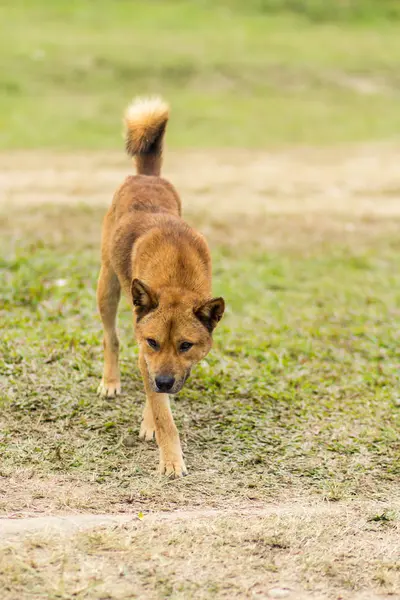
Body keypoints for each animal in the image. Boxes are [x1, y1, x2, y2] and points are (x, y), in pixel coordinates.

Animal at [95, 98, 223, 478]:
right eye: (154, 341)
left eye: (186, 345)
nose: (165, 383)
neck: (176, 280)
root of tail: (146, 176)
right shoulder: (145, 352)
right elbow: (164, 414)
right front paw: (170, 458)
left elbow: (155, 401)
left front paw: (149, 422)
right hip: (107, 287)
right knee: (111, 338)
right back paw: (111, 381)